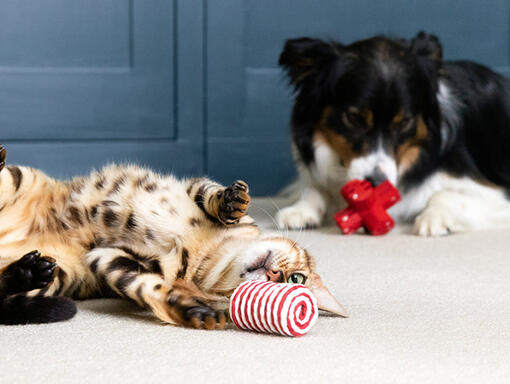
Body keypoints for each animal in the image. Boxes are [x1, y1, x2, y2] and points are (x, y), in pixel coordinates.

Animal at [0, 145, 346, 328]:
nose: (275, 274)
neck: (212, 253)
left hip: (60, 274)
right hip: (20, 178)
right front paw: (231, 201)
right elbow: (212, 195)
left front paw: (192, 311)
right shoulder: (192, 186)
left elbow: (151, 288)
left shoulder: (107, 257)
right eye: (297, 278)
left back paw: (27, 271)